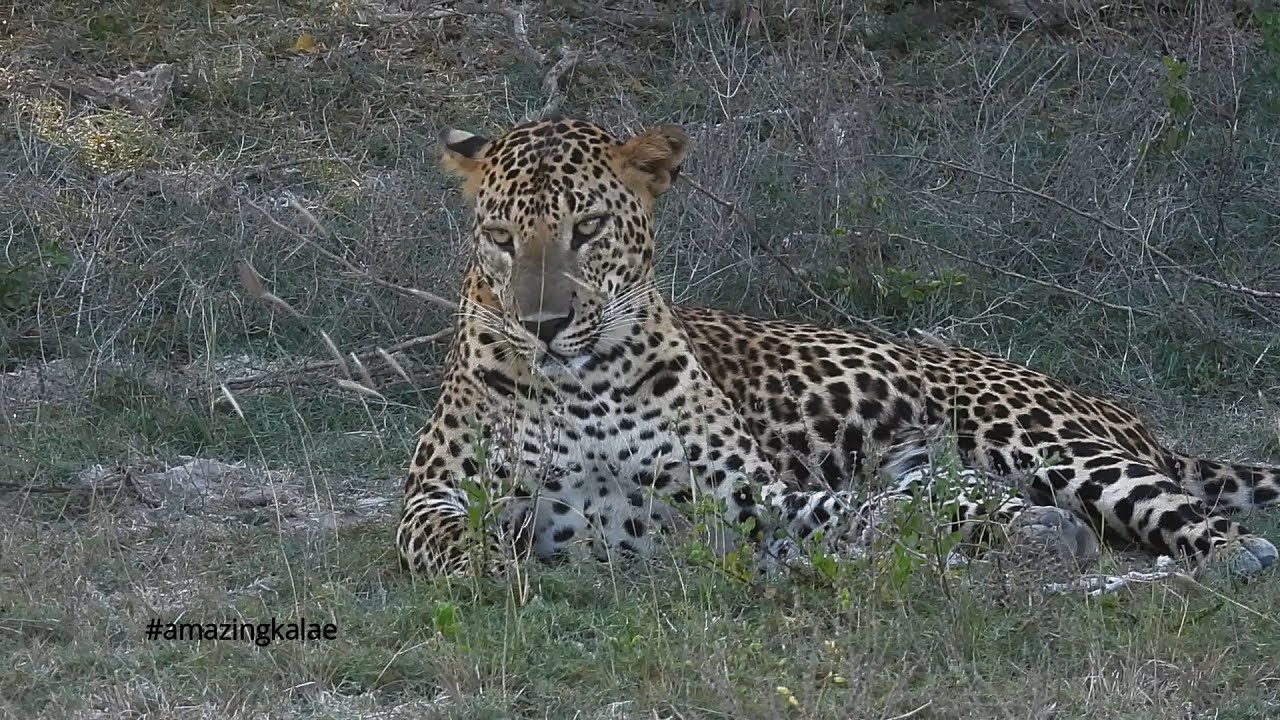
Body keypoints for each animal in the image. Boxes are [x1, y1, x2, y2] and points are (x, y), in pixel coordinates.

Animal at [396, 113, 1280, 580]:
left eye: (587, 229)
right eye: (501, 238)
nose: (541, 325)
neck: (586, 381)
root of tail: (1133, 420)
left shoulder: (745, 492)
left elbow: (837, 510)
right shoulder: (433, 497)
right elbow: (453, 537)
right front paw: (497, 567)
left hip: (1044, 441)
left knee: (1180, 511)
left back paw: (1229, 555)